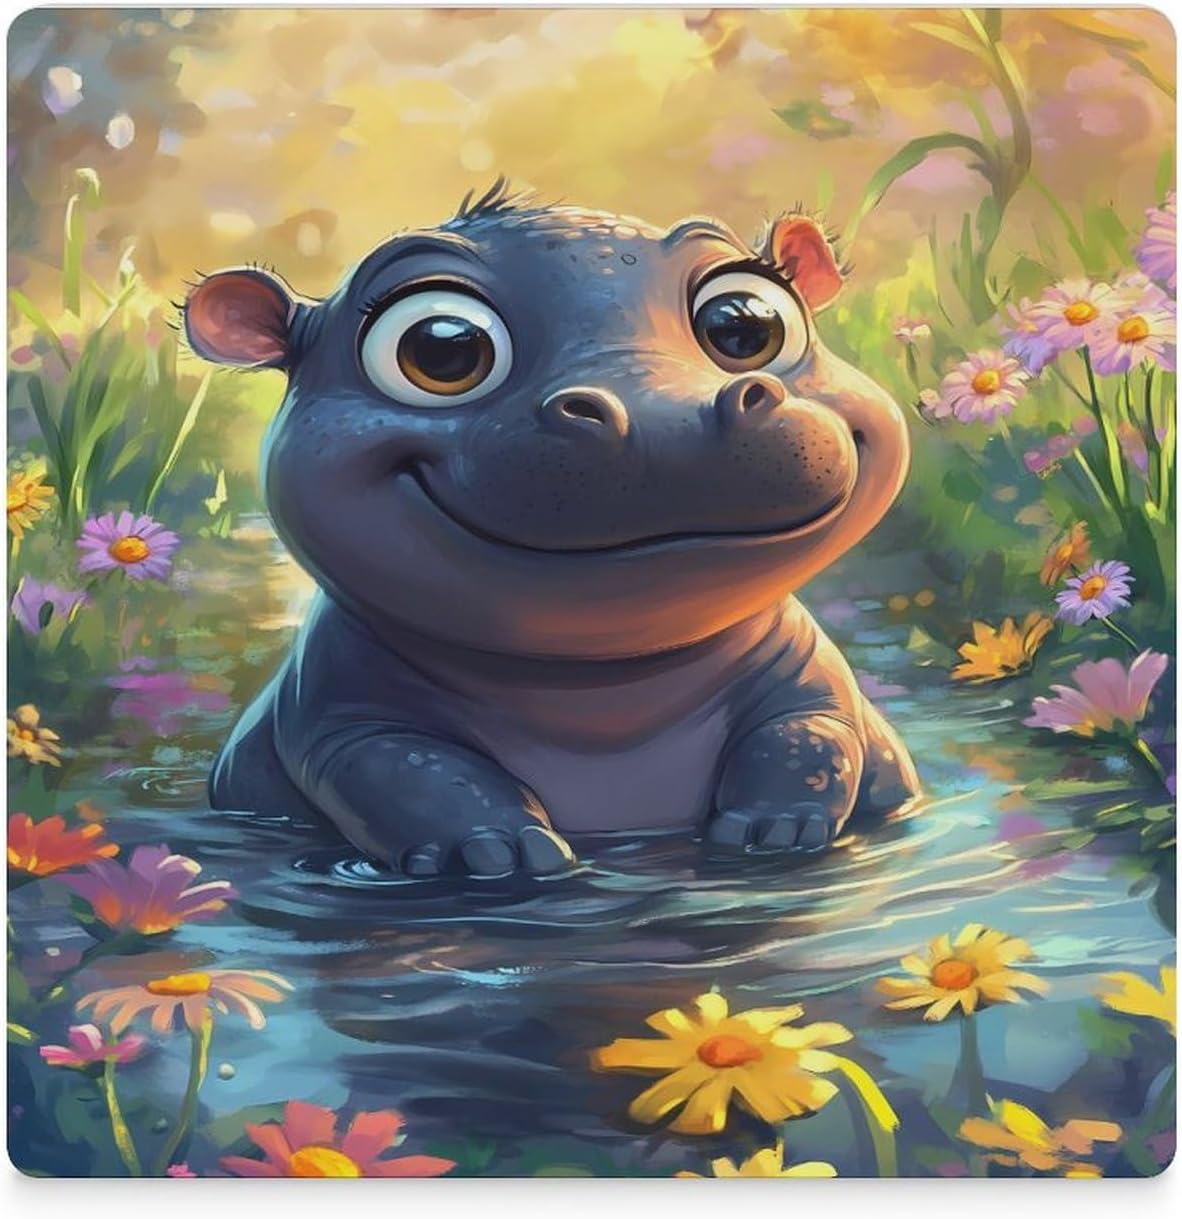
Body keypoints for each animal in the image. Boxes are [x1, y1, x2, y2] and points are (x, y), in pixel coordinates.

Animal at [183, 181, 920, 878]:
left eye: (744, 326)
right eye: (442, 349)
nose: (665, 416)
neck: (605, 690)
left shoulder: (814, 677)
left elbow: (808, 733)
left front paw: (778, 830)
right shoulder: (344, 716)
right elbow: (410, 773)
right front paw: (497, 852)